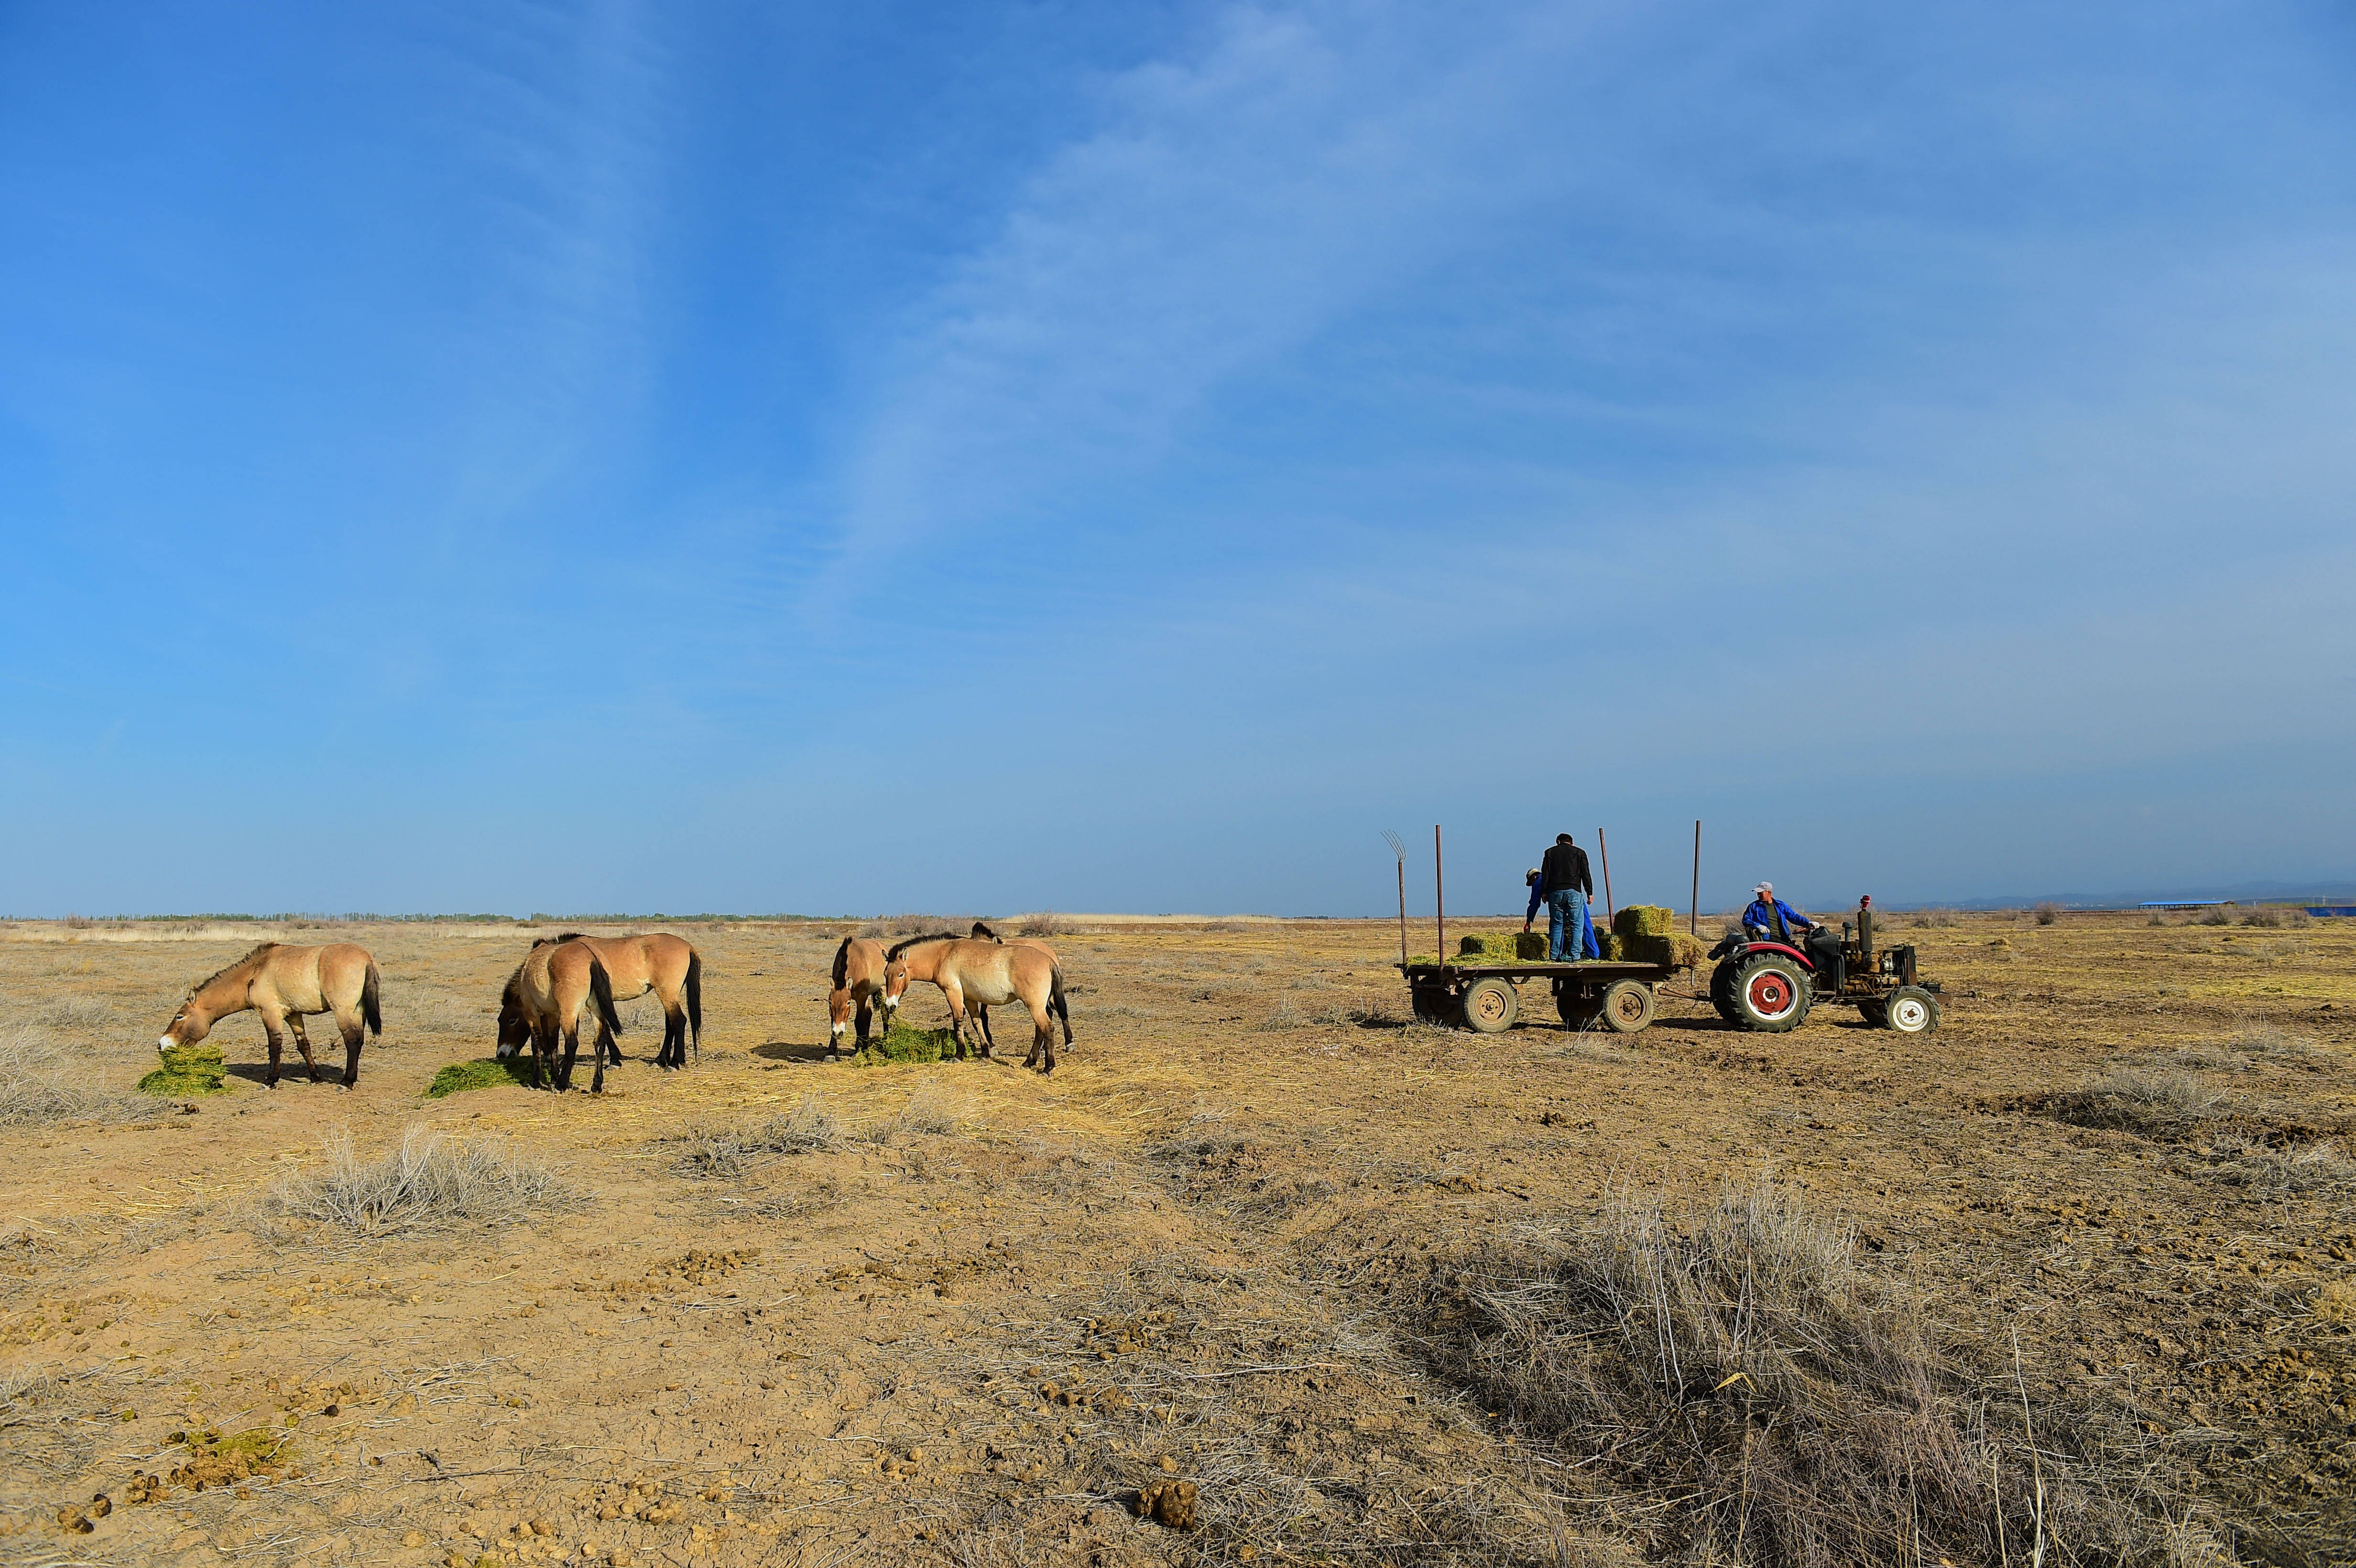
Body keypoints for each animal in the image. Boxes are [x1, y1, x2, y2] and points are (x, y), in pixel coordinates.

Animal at [161, 941, 384, 1088]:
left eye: (180, 1016)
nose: (162, 1044)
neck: (255, 971)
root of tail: (366, 958)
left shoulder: (270, 1014)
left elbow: (274, 1047)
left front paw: (270, 1080)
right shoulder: (293, 1015)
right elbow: (304, 1045)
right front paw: (315, 1077)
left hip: (344, 1011)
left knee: (352, 1042)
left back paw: (346, 1082)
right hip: (357, 1011)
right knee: (358, 1041)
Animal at [497, 941, 626, 1088]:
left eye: (512, 1020)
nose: (501, 1054)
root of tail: (592, 958)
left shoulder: (532, 1014)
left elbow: (536, 1044)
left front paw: (536, 1081)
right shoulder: (553, 1015)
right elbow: (553, 1043)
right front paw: (554, 1078)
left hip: (569, 1014)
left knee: (572, 1043)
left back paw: (562, 1084)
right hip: (595, 1011)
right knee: (600, 1042)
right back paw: (596, 1084)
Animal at [551, 927, 697, 1064]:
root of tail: (687, 946)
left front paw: (615, 1060)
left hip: (667, 994)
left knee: (679, 1021)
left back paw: (675, 1063)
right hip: (669, 996)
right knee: (670, 1024)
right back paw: (661, 1060)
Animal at [834, 932, 895, 1055]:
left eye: (848, 1003)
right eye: (830, 1003)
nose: (838, 1033)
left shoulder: (860, 997)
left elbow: (859, 1021)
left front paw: (858, 1048)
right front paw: (831, 1048)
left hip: (882, 989)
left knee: (884, 1014)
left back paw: (883, 1040)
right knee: (869, 1014)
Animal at [881, 932, 1074, 1068]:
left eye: (901, 974)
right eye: (885, 974)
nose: (890, 1005)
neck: (944, 954)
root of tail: (1049, 960)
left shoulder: (953, 994)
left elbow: (958, 1021)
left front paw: (959, 1055)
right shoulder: (970, 999)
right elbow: (977, 1022)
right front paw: (985, 1051)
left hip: (1035, 1006)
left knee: (1047, 1029)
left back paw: (1048, 1067)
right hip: (1039, 1006)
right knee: (1040, 1029)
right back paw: (1029, 1062)